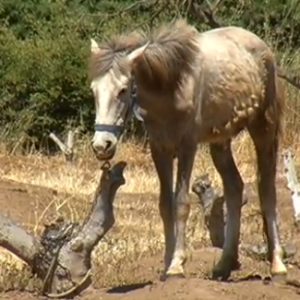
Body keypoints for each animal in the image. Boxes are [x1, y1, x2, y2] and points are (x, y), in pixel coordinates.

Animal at [88, 18, 298, 282]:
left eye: (123, 89)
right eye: (93, 90)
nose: (101, 145)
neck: (172, 84)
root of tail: (263, 47)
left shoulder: (187, 145)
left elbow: (181, 203)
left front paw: (177, 265)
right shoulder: (160, 147)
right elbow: (164, 205)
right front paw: (167, 264)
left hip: (264, 128)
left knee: (266, 189)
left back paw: (277, 264)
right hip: (220, 141)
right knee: (234, 187)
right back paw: (224, 265)